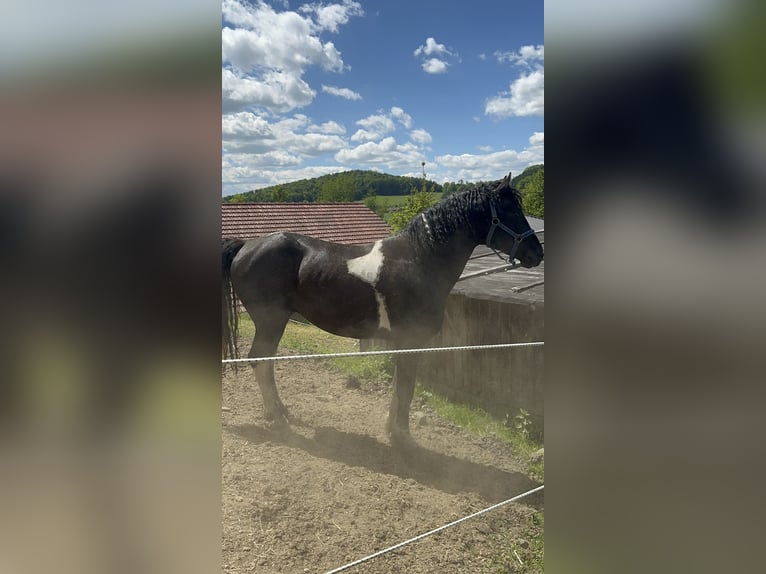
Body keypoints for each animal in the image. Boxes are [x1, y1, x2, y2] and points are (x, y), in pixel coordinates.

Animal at [222, 172, 543, 441]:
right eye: (510, 211)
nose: (536, 253)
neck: (419, 259)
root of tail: (246, 246)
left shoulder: (404, 343)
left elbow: (400, 387)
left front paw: (392, 428)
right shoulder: (411, 340)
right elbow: (406, 388)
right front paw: (402, 436)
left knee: (266, 362)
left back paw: (280, 412)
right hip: (271, 321)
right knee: (259, 360)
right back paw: (277, 418)